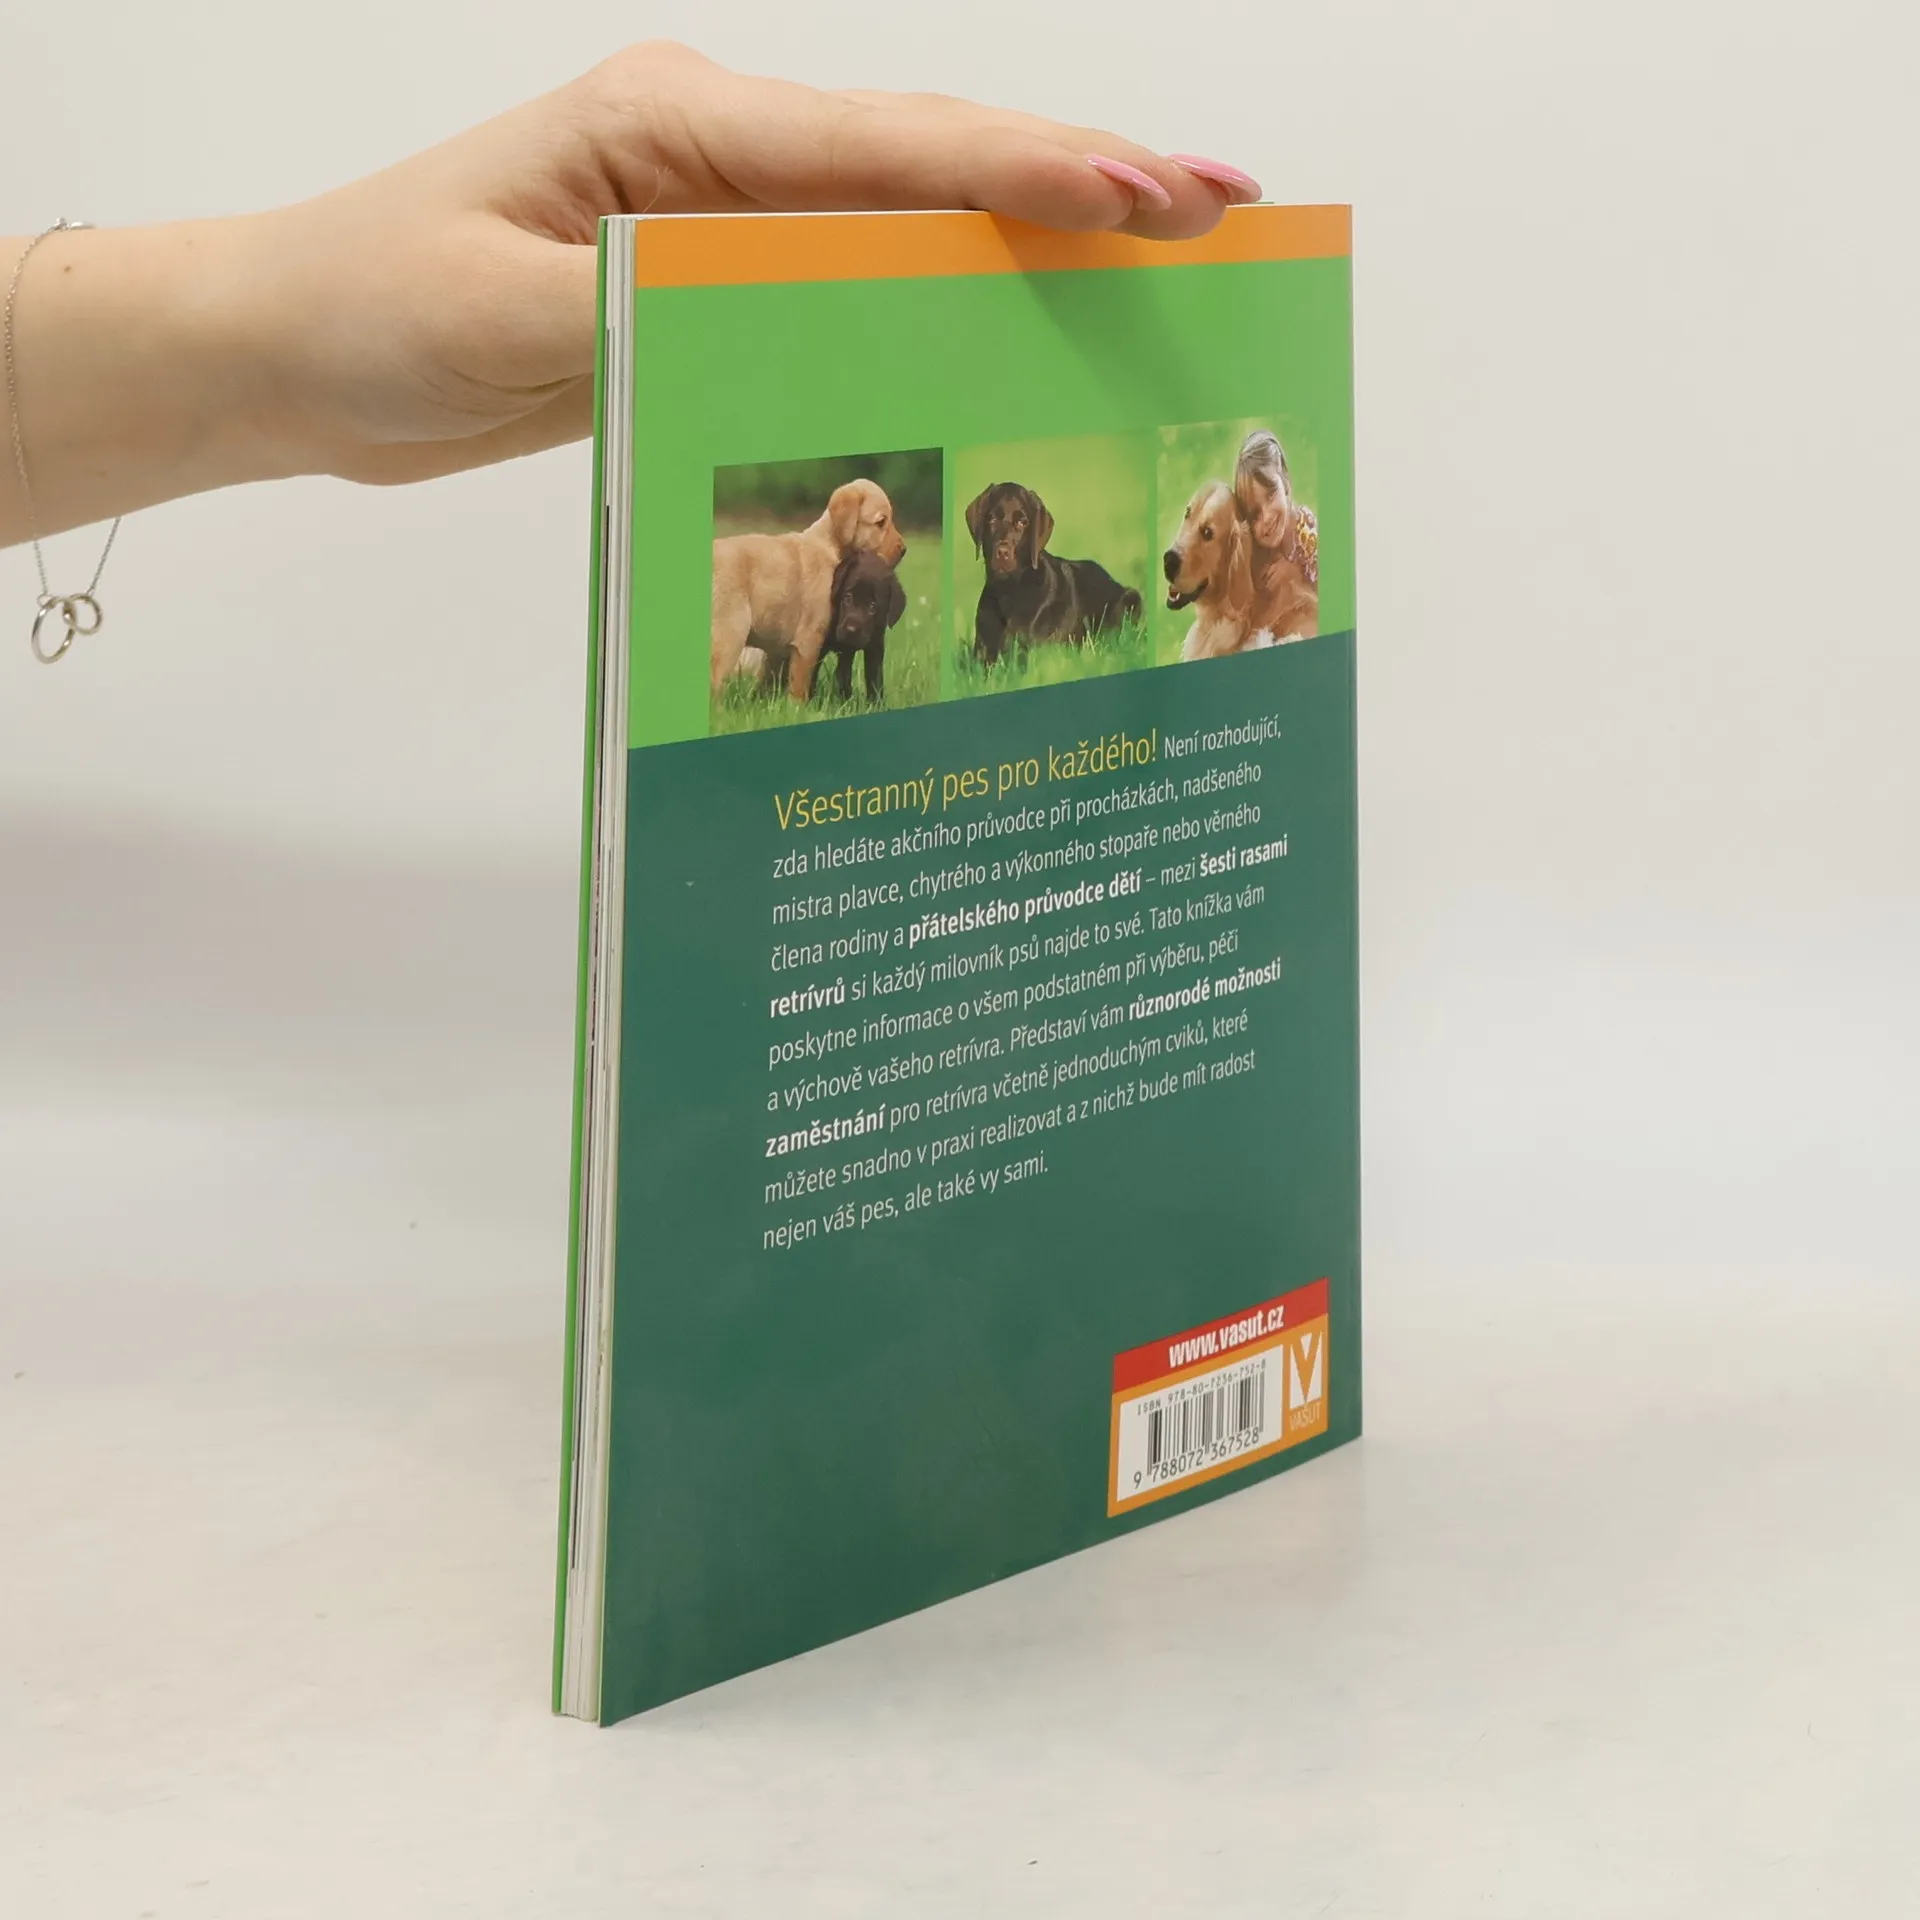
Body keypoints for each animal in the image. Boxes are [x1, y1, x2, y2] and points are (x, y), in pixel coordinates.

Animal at [818, 548, 906, 703]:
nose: (851, 630)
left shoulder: (874, 648)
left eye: (872, 607)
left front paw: (875, 704)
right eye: (847, 597)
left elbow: (875, 680)